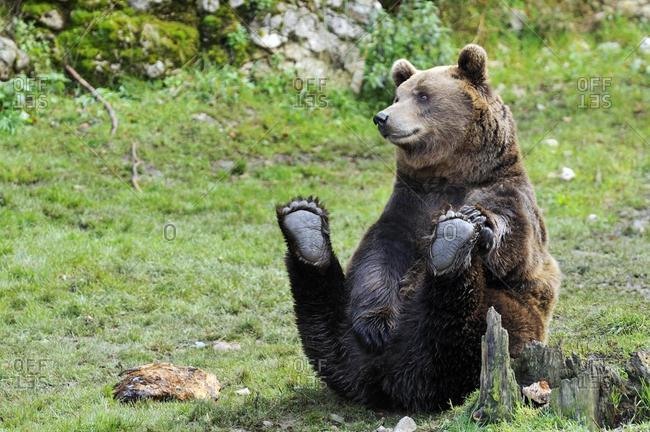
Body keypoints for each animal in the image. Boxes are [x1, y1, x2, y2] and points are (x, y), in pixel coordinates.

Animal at [275, 44, 561, 411]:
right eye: (397, 96)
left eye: (423, 95)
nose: (382, 117)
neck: (448, 176)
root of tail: (385, 383)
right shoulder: (408, 207)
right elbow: (377, 256)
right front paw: (376, 324)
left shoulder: (506, 192)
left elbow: (517, 244)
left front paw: (477, 222)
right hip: (344, 339)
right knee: (324, 321)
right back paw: (305, 227)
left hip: (509, 321)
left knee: (457, 332)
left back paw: (450, 249)